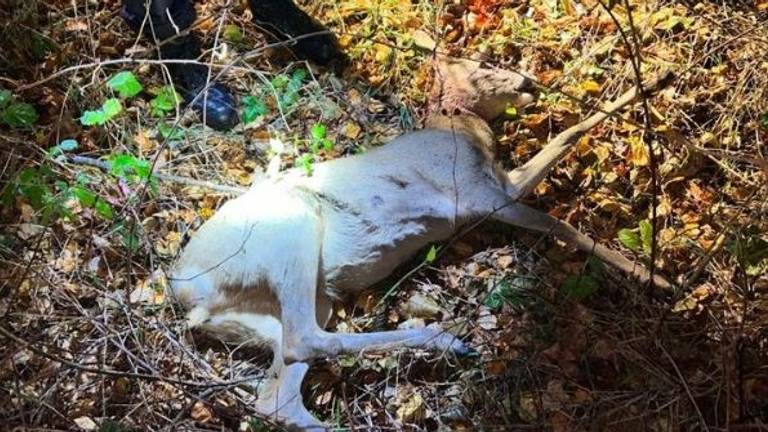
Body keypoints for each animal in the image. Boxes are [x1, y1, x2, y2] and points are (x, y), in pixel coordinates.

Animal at [168, 54, 672, 428]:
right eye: (480, 65)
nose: (529, 81)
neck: (461, 134)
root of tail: (184, 288)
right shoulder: (483, 195)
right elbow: (562, 213)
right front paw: (656, 278)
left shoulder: (498, 187)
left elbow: (564, 142)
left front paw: (655, 78)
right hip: (292, 233)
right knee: (304, 340)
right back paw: (445, 340)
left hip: (281, 308)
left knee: (278, 394)